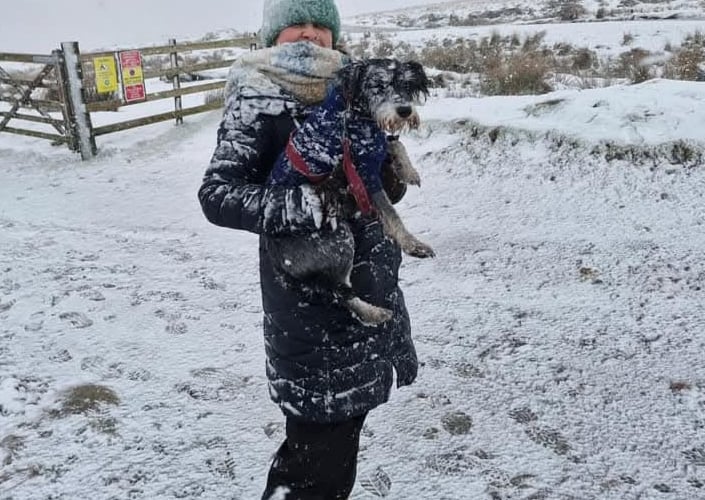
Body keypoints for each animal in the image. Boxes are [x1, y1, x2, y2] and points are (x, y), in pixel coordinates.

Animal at [266, 58, 434, 326]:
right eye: (378, 85)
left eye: (406, 85)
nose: (405, 110)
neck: (355, 114)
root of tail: (279, 261)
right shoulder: (363, 177)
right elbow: (392, 214)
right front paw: (413, 244)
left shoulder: (373, 150)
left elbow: (395, 142)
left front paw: (408, 171)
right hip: (340, 239)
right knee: (340, 293)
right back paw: (374, 313)